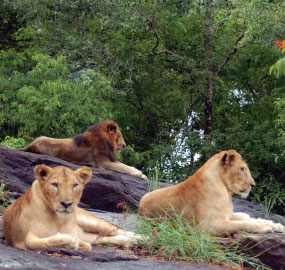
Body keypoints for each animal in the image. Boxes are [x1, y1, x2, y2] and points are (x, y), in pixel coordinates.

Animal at [2, 165, 142, 251]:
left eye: (74, 185)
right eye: (55, 184)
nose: (66, 204)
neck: (57, 218)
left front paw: (73, 242)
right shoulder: (22, 238)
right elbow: (36, 242)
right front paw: (70, 242)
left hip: (90, 221)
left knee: (117, 230)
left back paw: (141, 239)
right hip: (88, 234)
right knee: (104, 237)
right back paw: (129, 242)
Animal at [137, 150, 282, 236]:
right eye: (242, 169)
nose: (253, 184)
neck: (227, 192)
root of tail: (139, 208)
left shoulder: (225, 216)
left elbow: (249, 219)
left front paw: (277, 225)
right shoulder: (208, 226)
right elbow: (244, 224)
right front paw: (266, 227)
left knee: (244, 215)